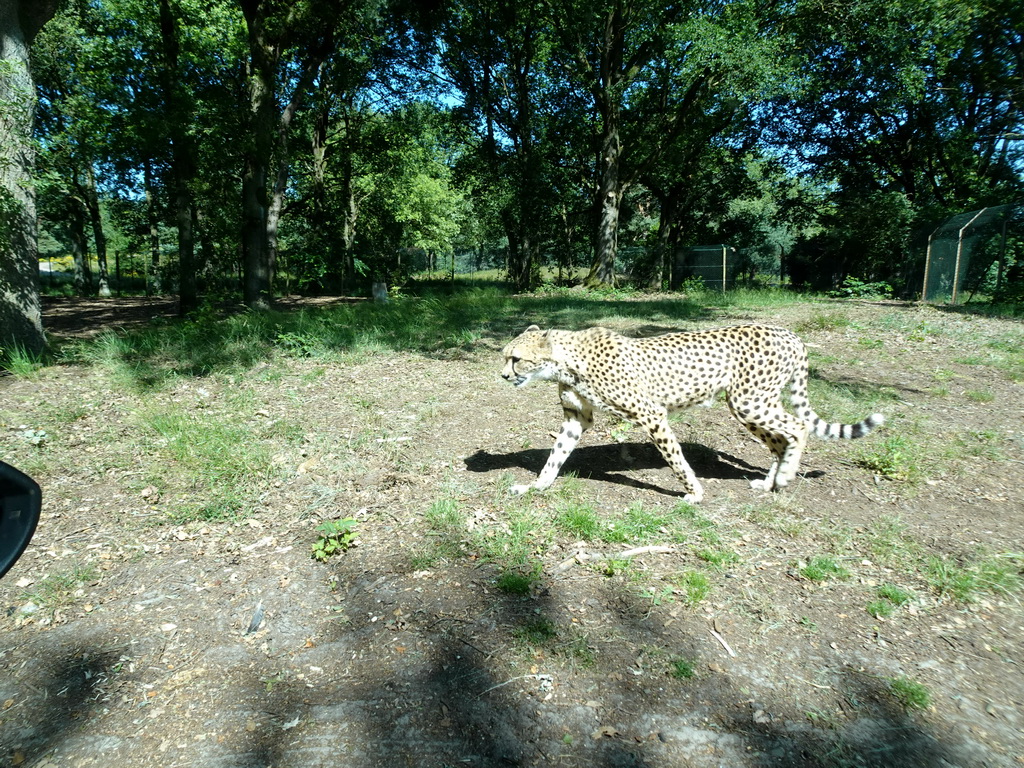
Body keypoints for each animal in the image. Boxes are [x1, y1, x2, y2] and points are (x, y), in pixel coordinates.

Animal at [499, 325, 884, 505]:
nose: (502, 376)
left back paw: (786, 476)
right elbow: (554, 457)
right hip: (747, 405)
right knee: (780, 440)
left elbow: (676, 458)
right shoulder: (576, 419)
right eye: (506, 357)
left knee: (798, 426)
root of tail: (787, 333)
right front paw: (535, 487)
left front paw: (695, 493)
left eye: (516, 359)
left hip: (750, 400)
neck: (567, 361)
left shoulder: (651, 413)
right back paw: (769, 482)